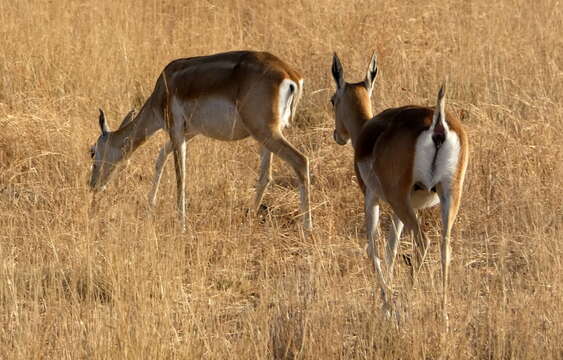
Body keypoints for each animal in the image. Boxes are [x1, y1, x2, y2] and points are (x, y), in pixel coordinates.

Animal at [87, 50, 312, 231]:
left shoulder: (176, 131)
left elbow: (181, 176)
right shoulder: (189, 133)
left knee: (301, 161)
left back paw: (307, 228)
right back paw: (248, 217)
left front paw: (182, 223)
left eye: (92, 151)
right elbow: (160, 158)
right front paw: (150, 205)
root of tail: (290, 75)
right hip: (266, 135)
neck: (164, 87)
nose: (93, 186)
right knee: (266, 176)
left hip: (266, 132)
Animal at [330, 52, 472, 320]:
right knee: (444, 247)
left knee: (422, 242)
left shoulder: (372, 198)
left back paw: (405, 303)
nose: (337, 135)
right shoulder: (403, 208)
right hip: (448, 195)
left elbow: (373, 247)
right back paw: (443, 313)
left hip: (400, 199)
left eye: (332, 100)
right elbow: (392, 248)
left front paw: (386, 302)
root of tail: (437, 122)